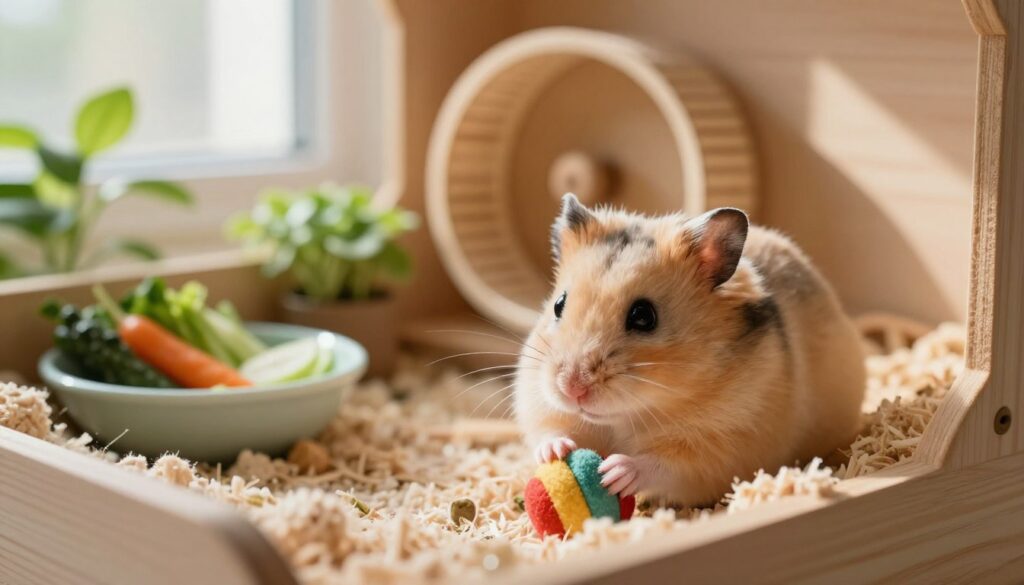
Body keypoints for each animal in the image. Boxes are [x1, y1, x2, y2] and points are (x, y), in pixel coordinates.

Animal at [514, 194, 865, 506]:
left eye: (644, 316)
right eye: (558, 304)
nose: (571, 388)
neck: (629, 414)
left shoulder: (722, 444)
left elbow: (663, 465)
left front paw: (614, 471)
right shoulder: (540, 403)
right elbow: (549, 429)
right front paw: (555, 451)